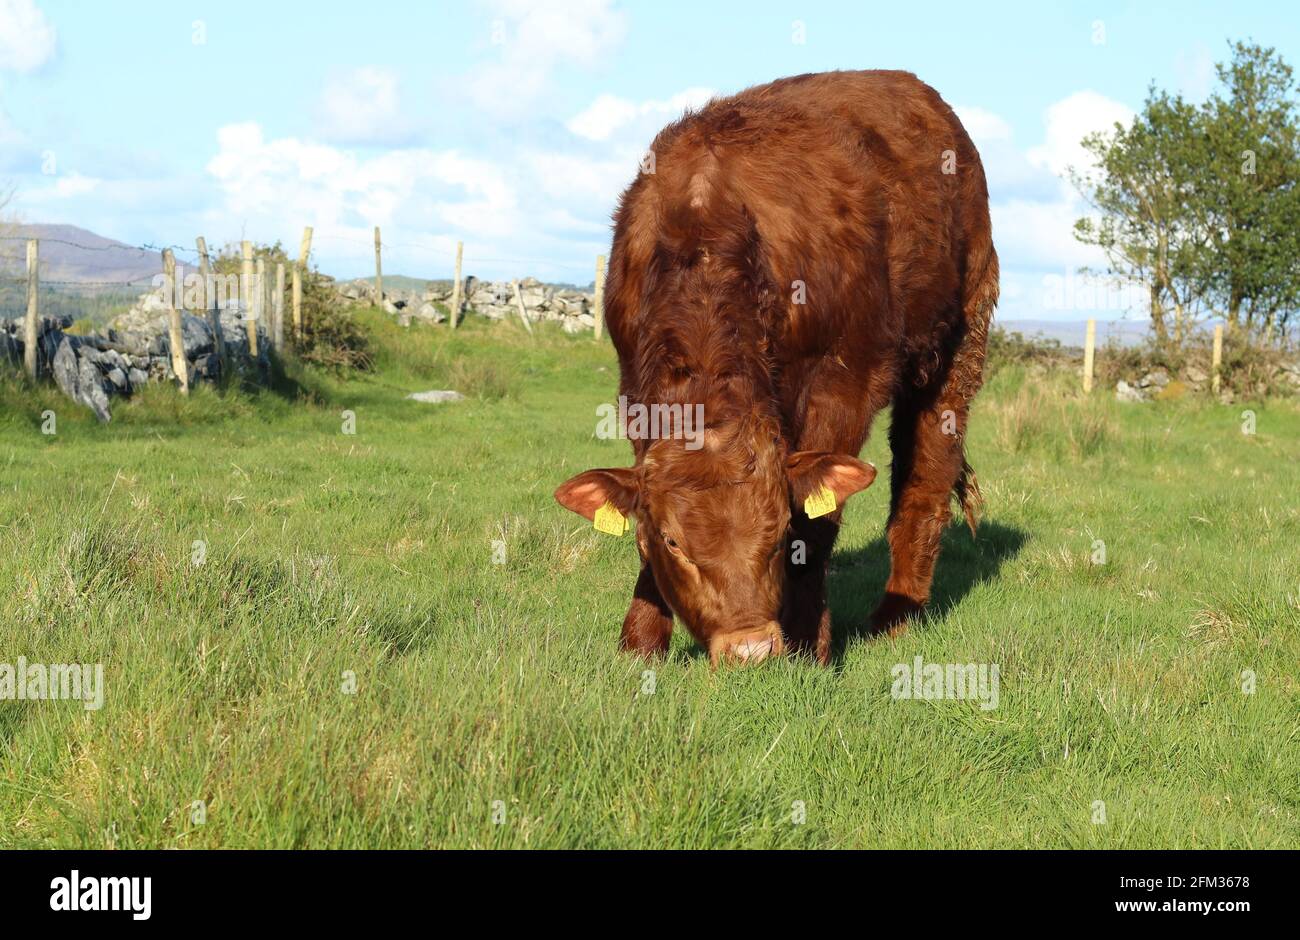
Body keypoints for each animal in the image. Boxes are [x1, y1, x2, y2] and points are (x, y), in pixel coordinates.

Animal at [556, 69, 993, 665]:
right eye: (673, 540)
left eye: (779, 530)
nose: (750, 649)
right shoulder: (634, 391)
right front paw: (640, 644)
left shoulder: (844, 386)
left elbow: (820, 521)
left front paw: (810, 645)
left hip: (954, 352)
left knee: (924, 481)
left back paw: (895, 618)